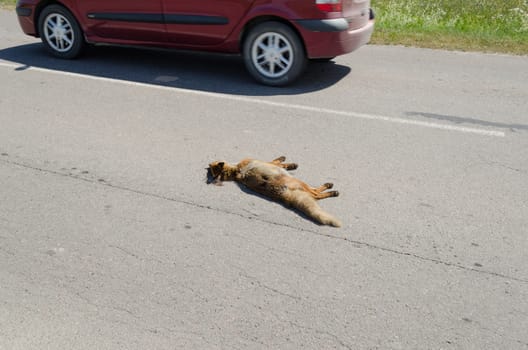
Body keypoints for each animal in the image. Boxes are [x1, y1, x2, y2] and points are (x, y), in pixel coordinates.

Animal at [207, 157, 342, 228]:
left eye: (210, 170)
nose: (208, 163)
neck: (235, 171)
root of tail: (283, 195)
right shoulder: (267, 162)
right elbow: (278, 162)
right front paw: (288, 162)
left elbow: (279, 163)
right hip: (300, 183)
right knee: (316, 194)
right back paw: (331, 189)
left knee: (314, 195)